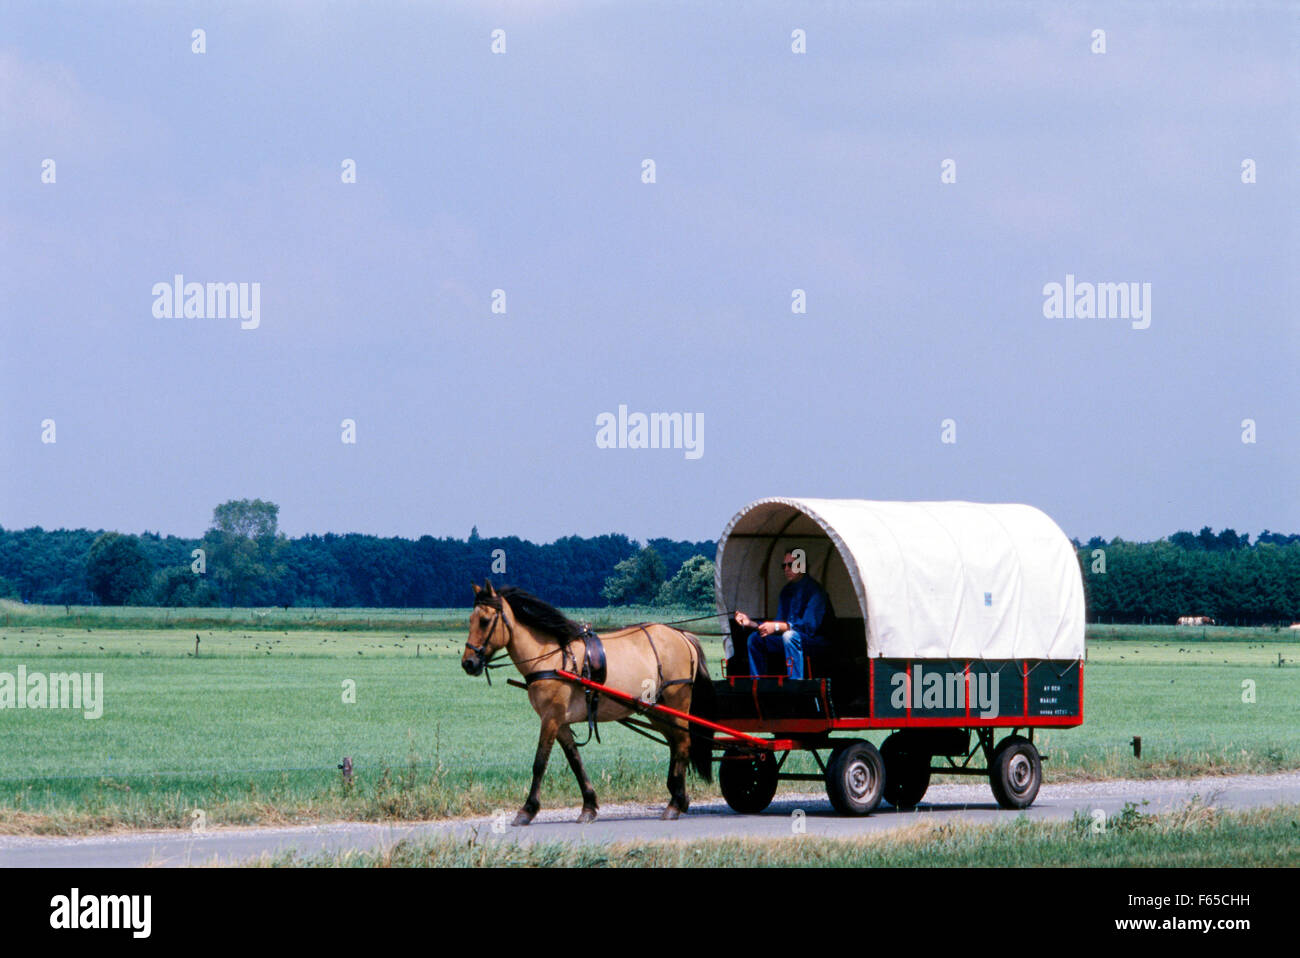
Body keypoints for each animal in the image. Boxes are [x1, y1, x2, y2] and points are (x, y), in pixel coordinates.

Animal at [461, 580, 715, 825]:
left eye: (484, 621)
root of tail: (682, 635)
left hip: (676, 704)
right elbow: (575, 762)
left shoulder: (550, 719)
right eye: (471, 620)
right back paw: (679, 797)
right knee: (675, 744)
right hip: (658, 711)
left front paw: (528, 810)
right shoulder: (561, 723)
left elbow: (539, 762)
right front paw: (589, 806)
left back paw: (675, 804)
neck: (551, 656)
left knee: (683, 743)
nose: (468, 663)